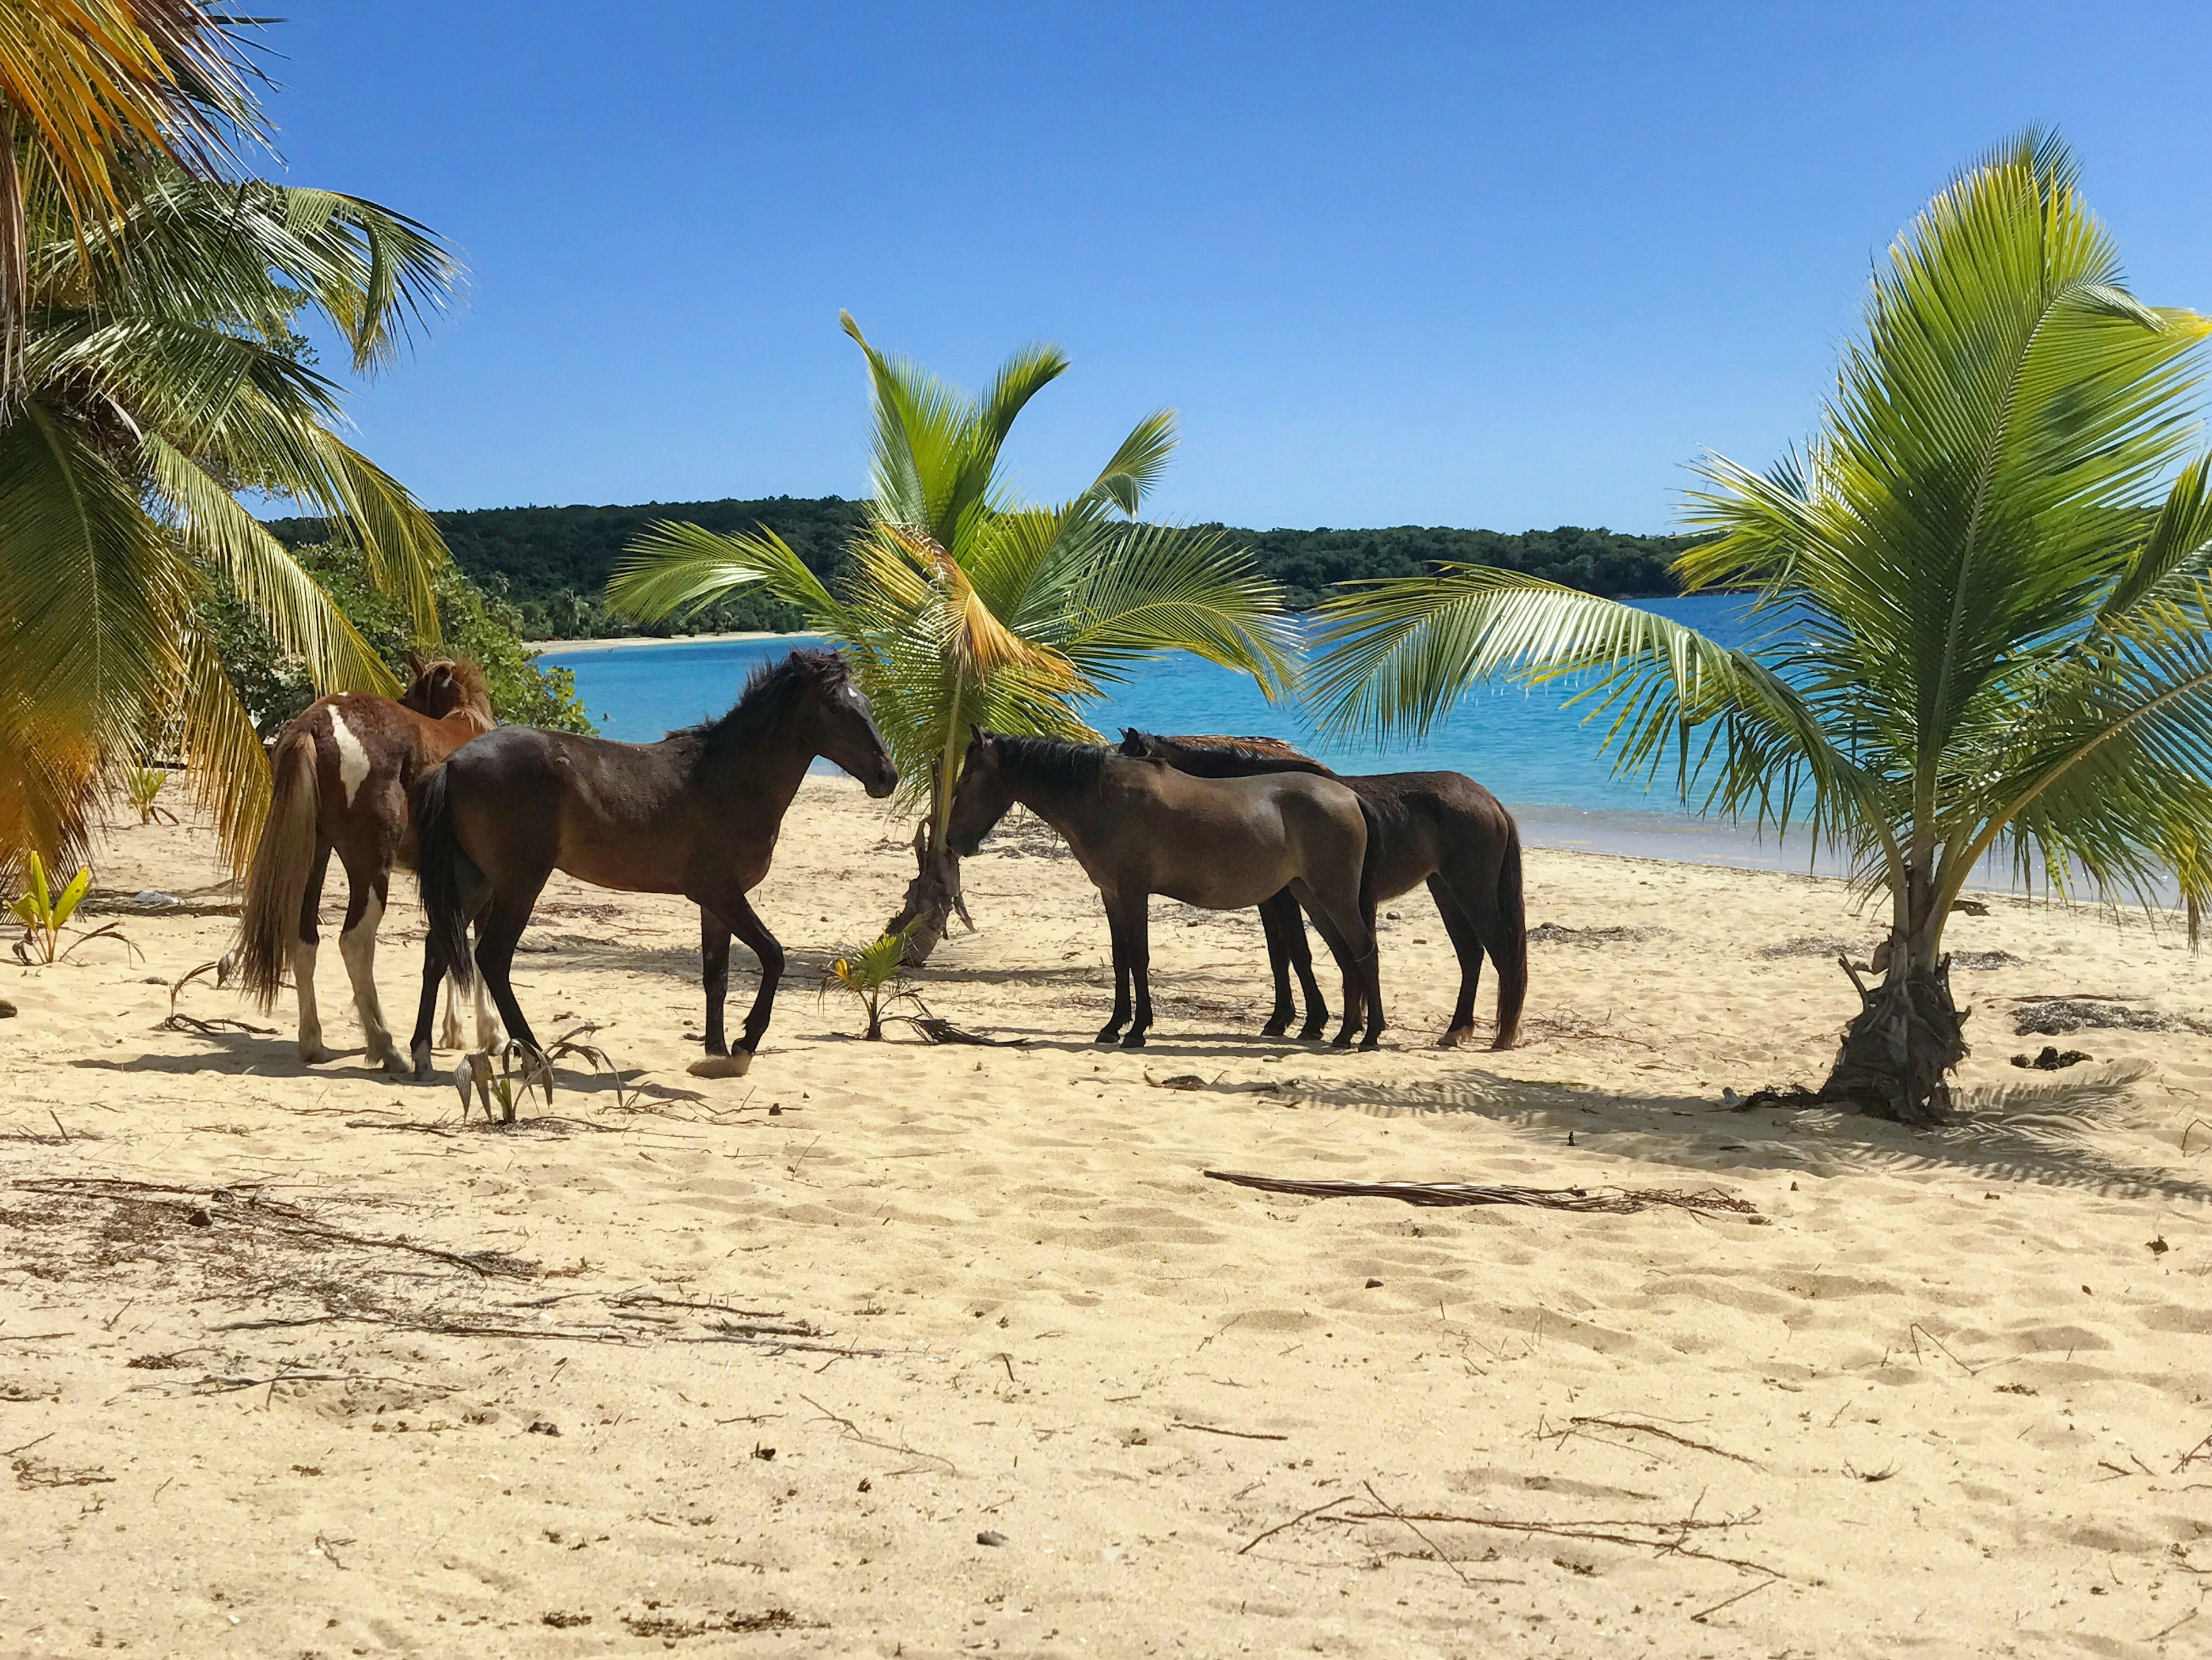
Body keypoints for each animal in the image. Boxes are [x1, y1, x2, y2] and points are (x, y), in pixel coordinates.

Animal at [240, 655, 504, 1071]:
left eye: (412, 694)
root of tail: (316, 725)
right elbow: (474, 949)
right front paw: (489, 1033)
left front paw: (453, 1030)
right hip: (370, 870)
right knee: (354, 941)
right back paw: (385, 1046)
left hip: (315, 856)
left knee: (304, 940)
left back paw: (313, 1043)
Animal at [415, 651, 898, 1080]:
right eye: (834, 706)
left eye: (867, 704)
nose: (887, 777)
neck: (730, 777)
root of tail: (453, 762)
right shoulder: (721, 893)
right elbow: (774, 956)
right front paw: (744, 1046)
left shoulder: (715, 904)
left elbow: (716, 976)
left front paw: (715, 1055)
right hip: (519, 884)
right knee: (492, 957)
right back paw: (534, 1054)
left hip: (475, 880)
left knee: (437, 950)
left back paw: (419, 1055)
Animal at [1115, 730, 1531, 1045]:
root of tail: (1491, 801)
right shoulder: (1273, 900)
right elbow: (1280, 955)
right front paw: (1287, 1020)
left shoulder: (1284, 898)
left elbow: (1297, 954)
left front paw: (1308, 1022)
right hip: (1445, 891)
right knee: (1471, 955)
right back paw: (1457, 1029)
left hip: (1471, 892)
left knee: (1500, 954)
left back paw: (1501, 1037)